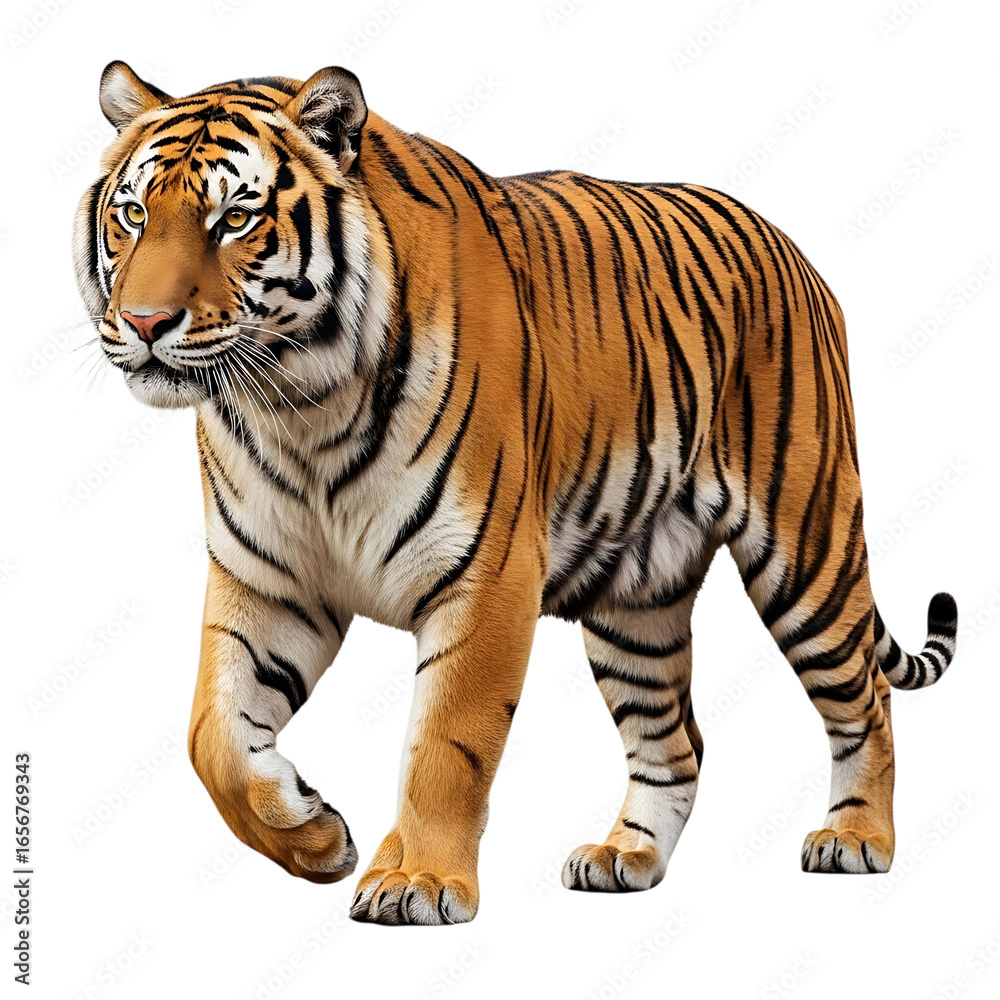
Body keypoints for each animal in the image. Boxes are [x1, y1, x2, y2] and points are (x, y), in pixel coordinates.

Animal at [74, 61, 959, 925]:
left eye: (233, 219)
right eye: (132, 214)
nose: (144, 322)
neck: (298, 405)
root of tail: (793, 250)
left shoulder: (486, 574)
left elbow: (446, 744)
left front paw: (419, 880)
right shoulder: (267, 583)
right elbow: (211, 736)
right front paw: (314, 835)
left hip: (808, 548)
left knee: (867, 700)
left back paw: (856, 839)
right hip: (636, 605)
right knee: (676, 742)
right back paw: (624, 857)